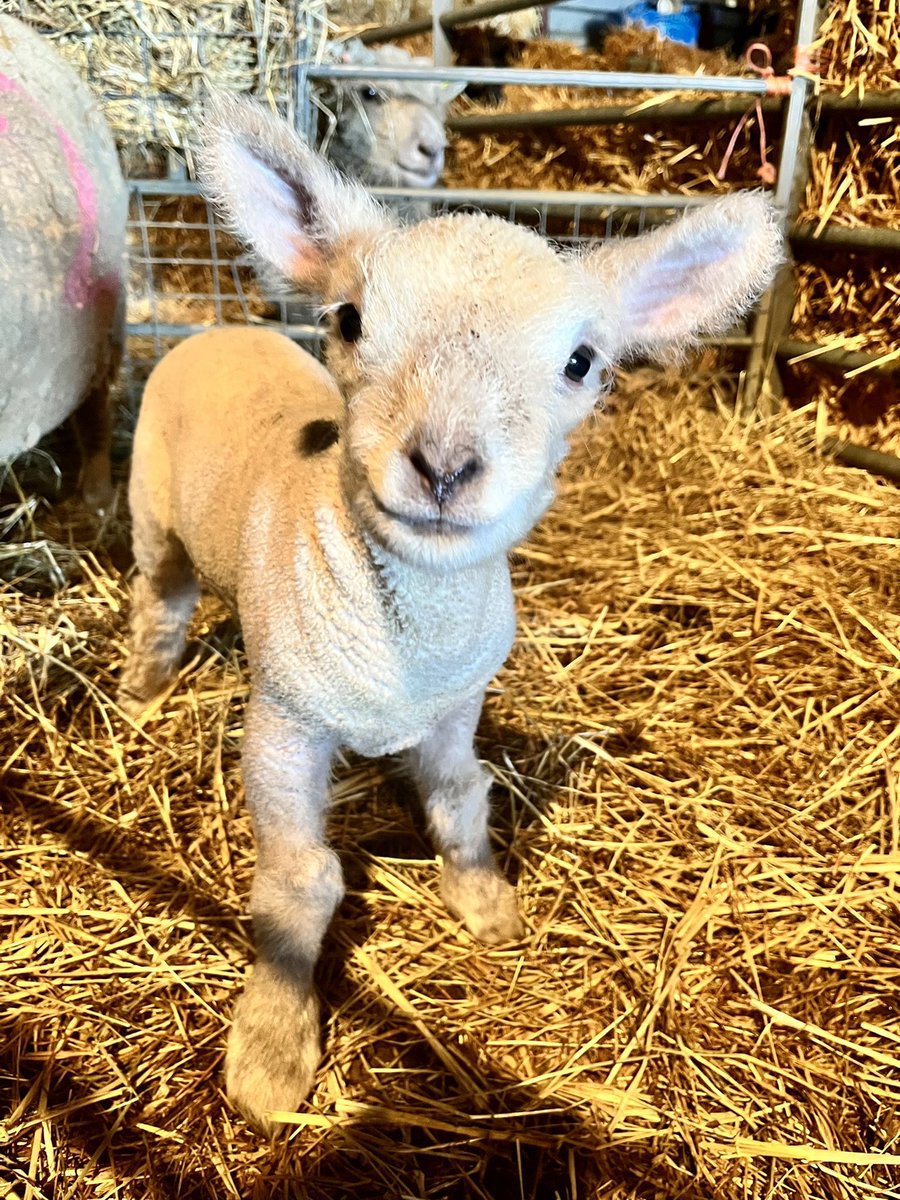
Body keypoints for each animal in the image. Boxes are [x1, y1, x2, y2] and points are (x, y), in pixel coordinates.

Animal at [118, 96, 782, 1132]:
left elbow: (465, 798)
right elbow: (301, 882)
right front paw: (271, 1052)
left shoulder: (454, 708)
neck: (404, 652)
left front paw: (488, 907)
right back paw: (143, 690)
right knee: (162, 601)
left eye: (582, 361)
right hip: (154, 514)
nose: (442, 465)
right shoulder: (283, 725)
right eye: (350, 320)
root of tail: (214, 329)